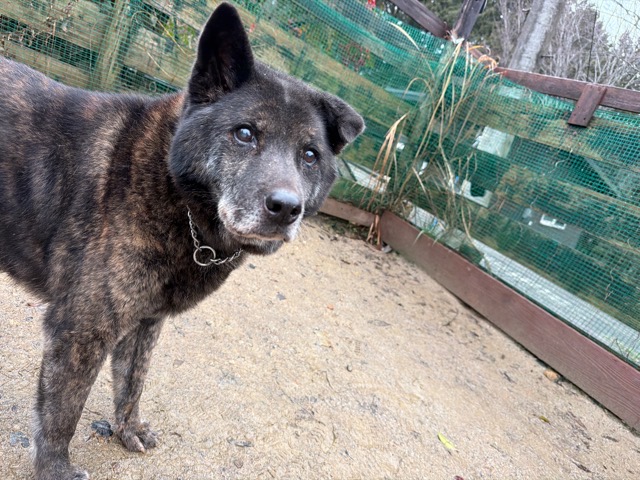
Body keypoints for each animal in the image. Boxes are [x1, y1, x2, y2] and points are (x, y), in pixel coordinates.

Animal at [0, 3, 364, 478]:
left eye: (309, 155)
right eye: (245, 133)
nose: (286, 208)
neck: (174, 192)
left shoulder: (145, 322)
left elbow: (131, 382)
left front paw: (127, 430)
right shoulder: (81, 328)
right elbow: (63, 411)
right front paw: (55, 469)